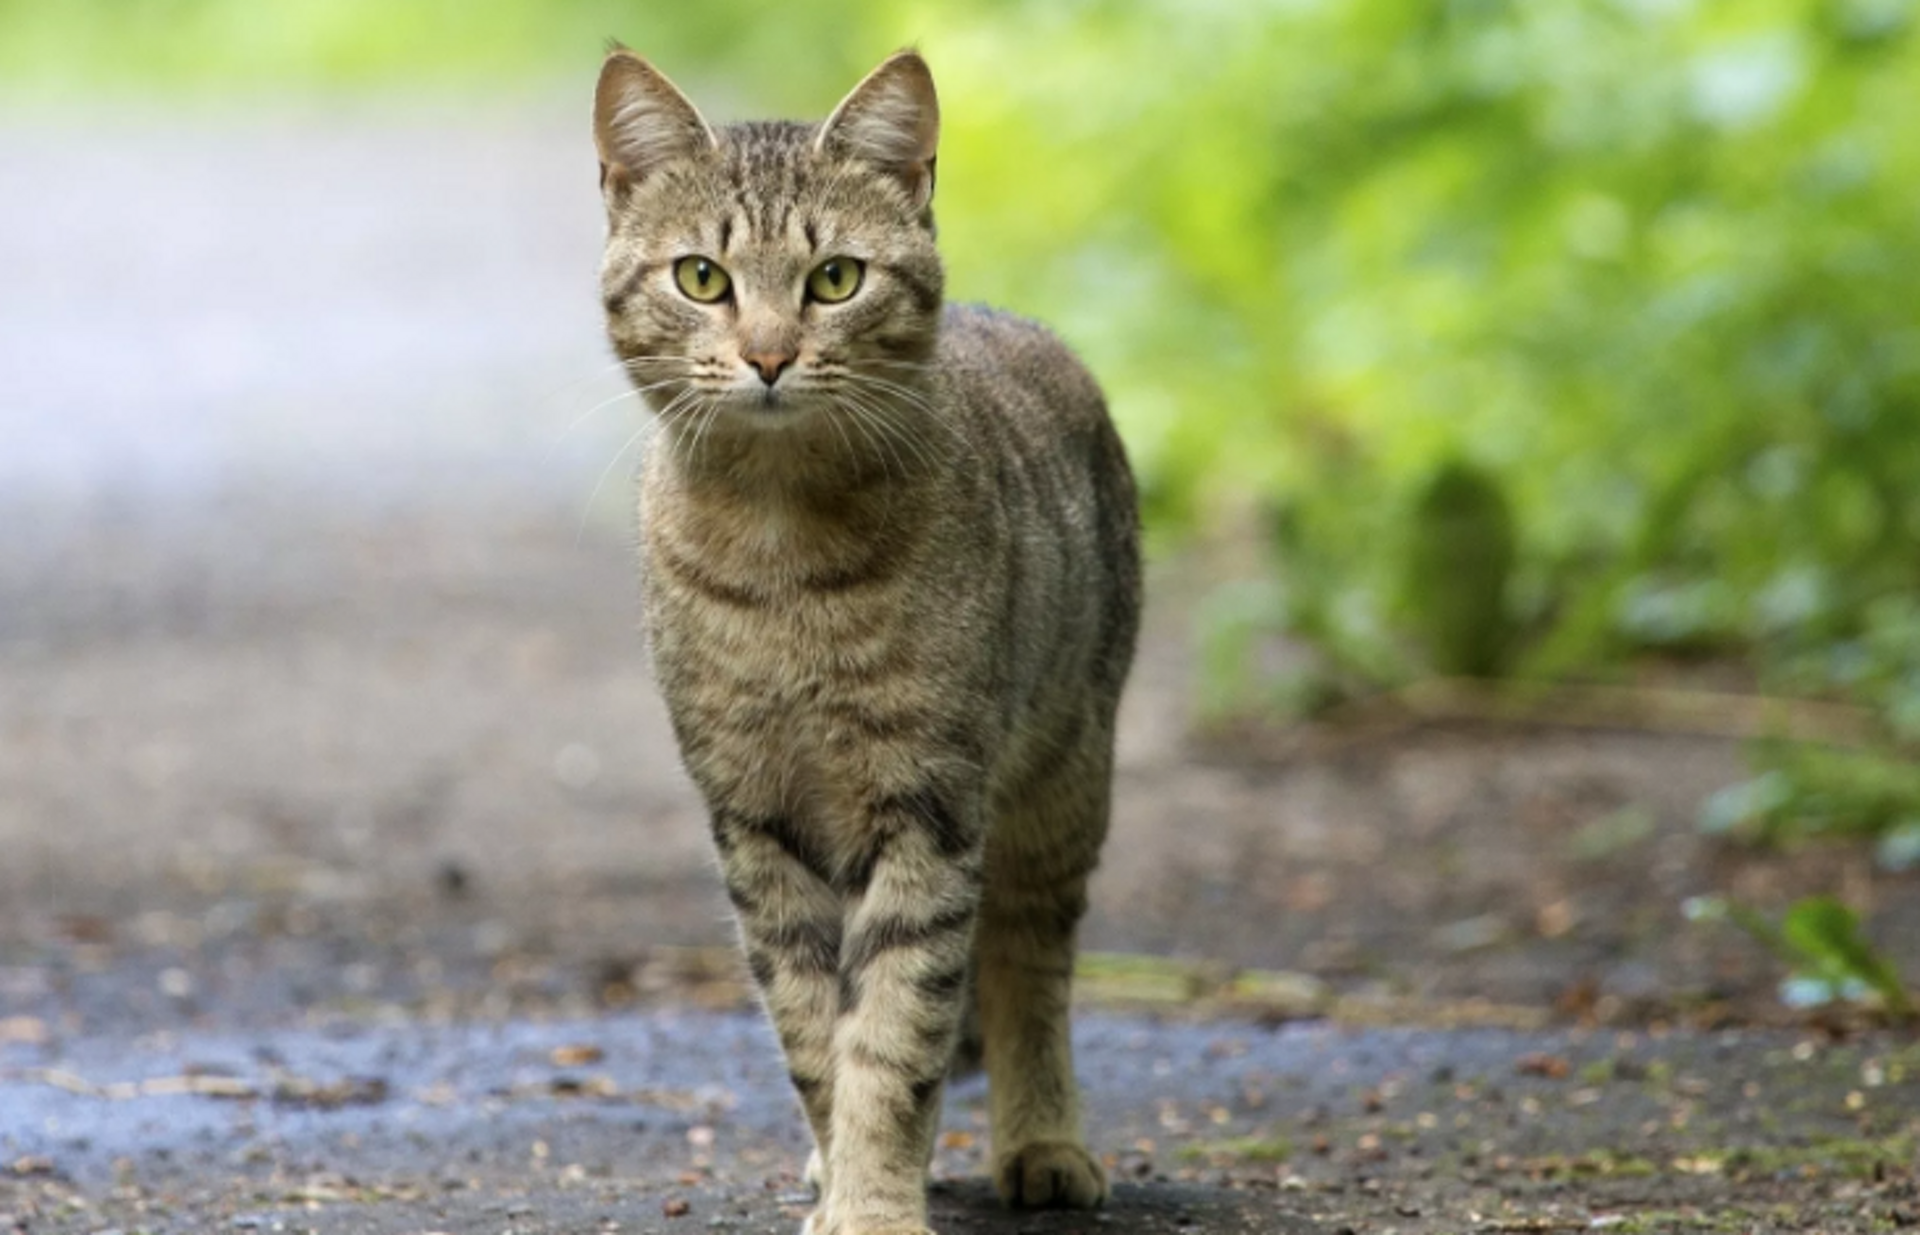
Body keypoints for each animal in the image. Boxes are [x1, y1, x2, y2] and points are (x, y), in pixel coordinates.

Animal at [591, 48, 1136, 1235]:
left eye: (836, 279)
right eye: (701, 277)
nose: (768, 355)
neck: (782, 551)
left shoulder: (929, 807)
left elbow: (897, 1030)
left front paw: (877, 1199)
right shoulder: (754, 818)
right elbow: (813, 1029)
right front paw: (844, 1164)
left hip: (1063, 783)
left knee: (1030, 965)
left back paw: (1043, 1139)